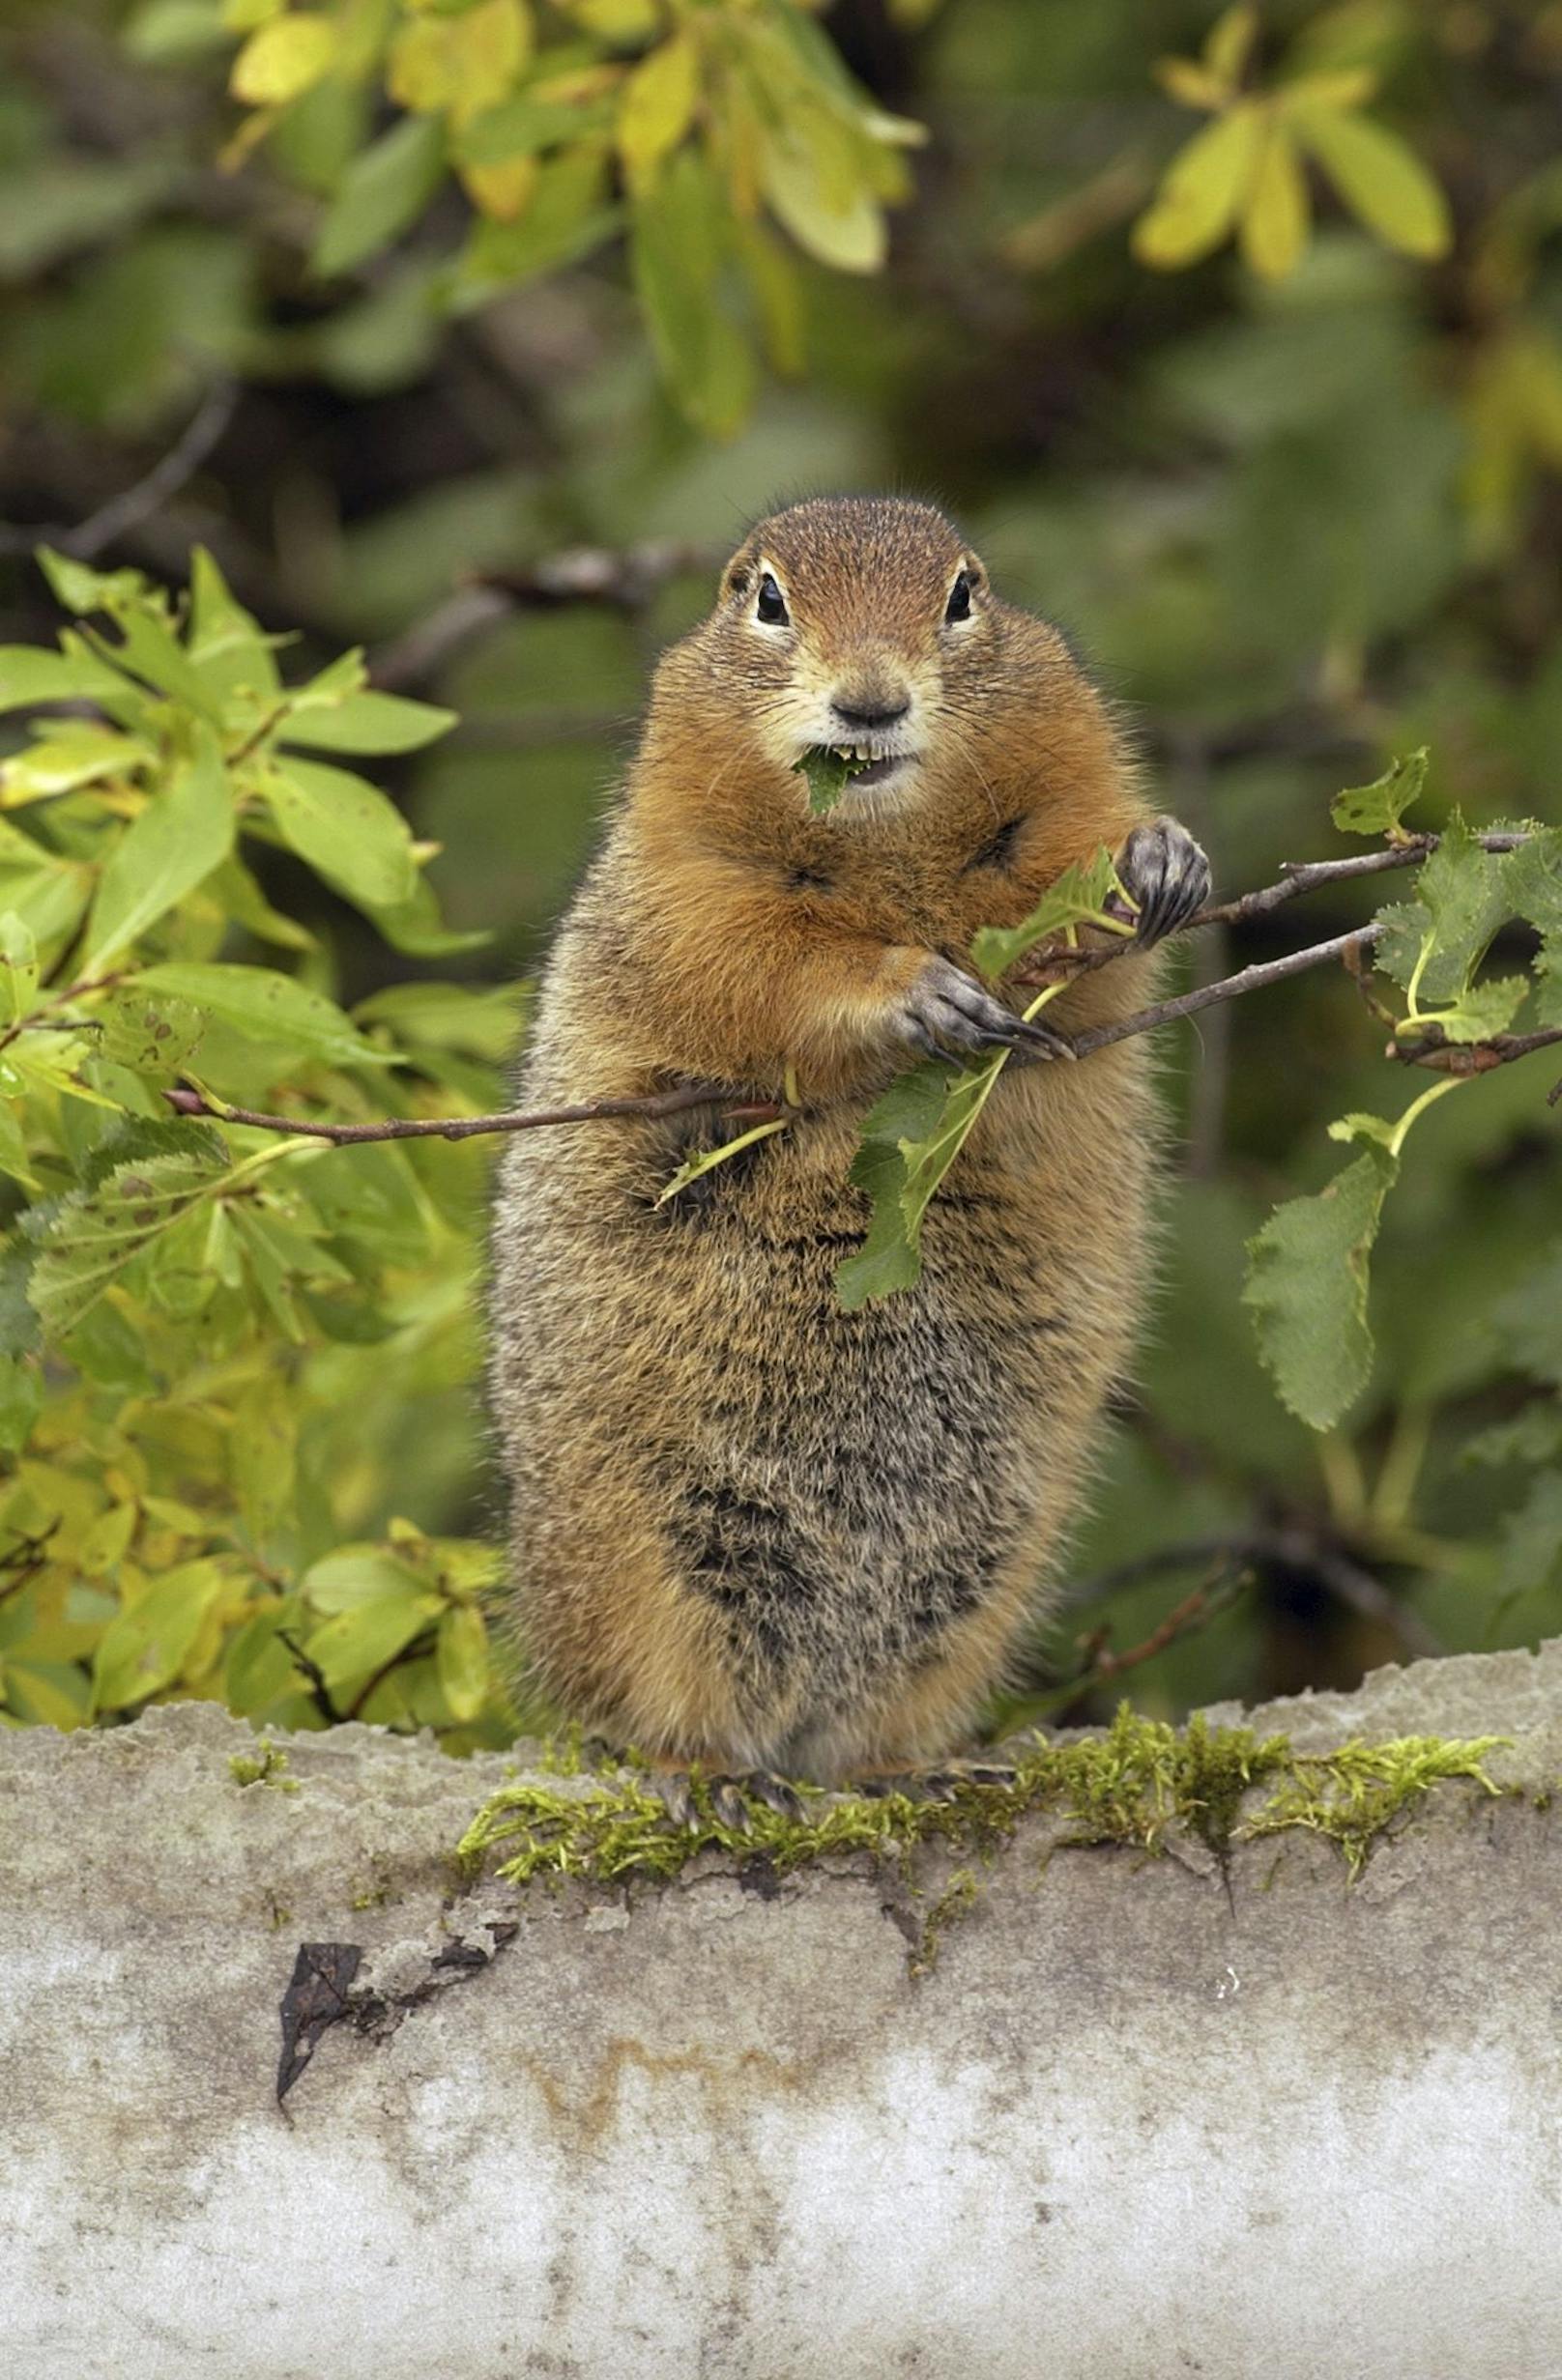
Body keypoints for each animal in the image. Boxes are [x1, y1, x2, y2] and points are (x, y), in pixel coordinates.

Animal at [488, 497, 1209, 1790]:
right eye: (765, 599)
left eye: (963, 595)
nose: (869, 703)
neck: (886, 841)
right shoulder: (685, 877)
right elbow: (762, 960)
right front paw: (909, 991)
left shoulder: (1058, 788)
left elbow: (1080, 943)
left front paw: (1157, 860)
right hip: (650, 1555)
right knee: (653, 1705)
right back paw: (709, 1779)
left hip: (980, 1571)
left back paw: (920, 1767)